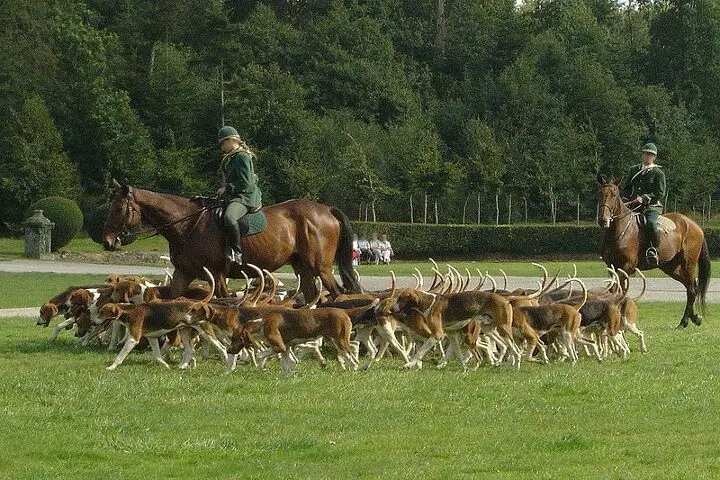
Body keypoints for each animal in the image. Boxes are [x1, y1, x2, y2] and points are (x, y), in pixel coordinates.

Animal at [100, 180, 360, 300]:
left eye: (118, 209)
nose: (107, 241)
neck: (187, 225)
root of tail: (327, 209)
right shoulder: (183, 273)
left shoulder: (216, 274)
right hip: (304, 268)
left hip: (322, 268)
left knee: (338, 294)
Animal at [596, 177, 708, 330]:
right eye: (600, 193)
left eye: (614, 194)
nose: (603, 220)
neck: (620, 230)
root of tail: (695, 225)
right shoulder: (612, 266)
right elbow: (617, 290)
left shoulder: (627, 266)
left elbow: (617, 289)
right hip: (671, 268)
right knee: (691, 288)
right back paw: (694, 318)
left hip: (688, 264)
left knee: (691, 290)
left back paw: (683, 322)